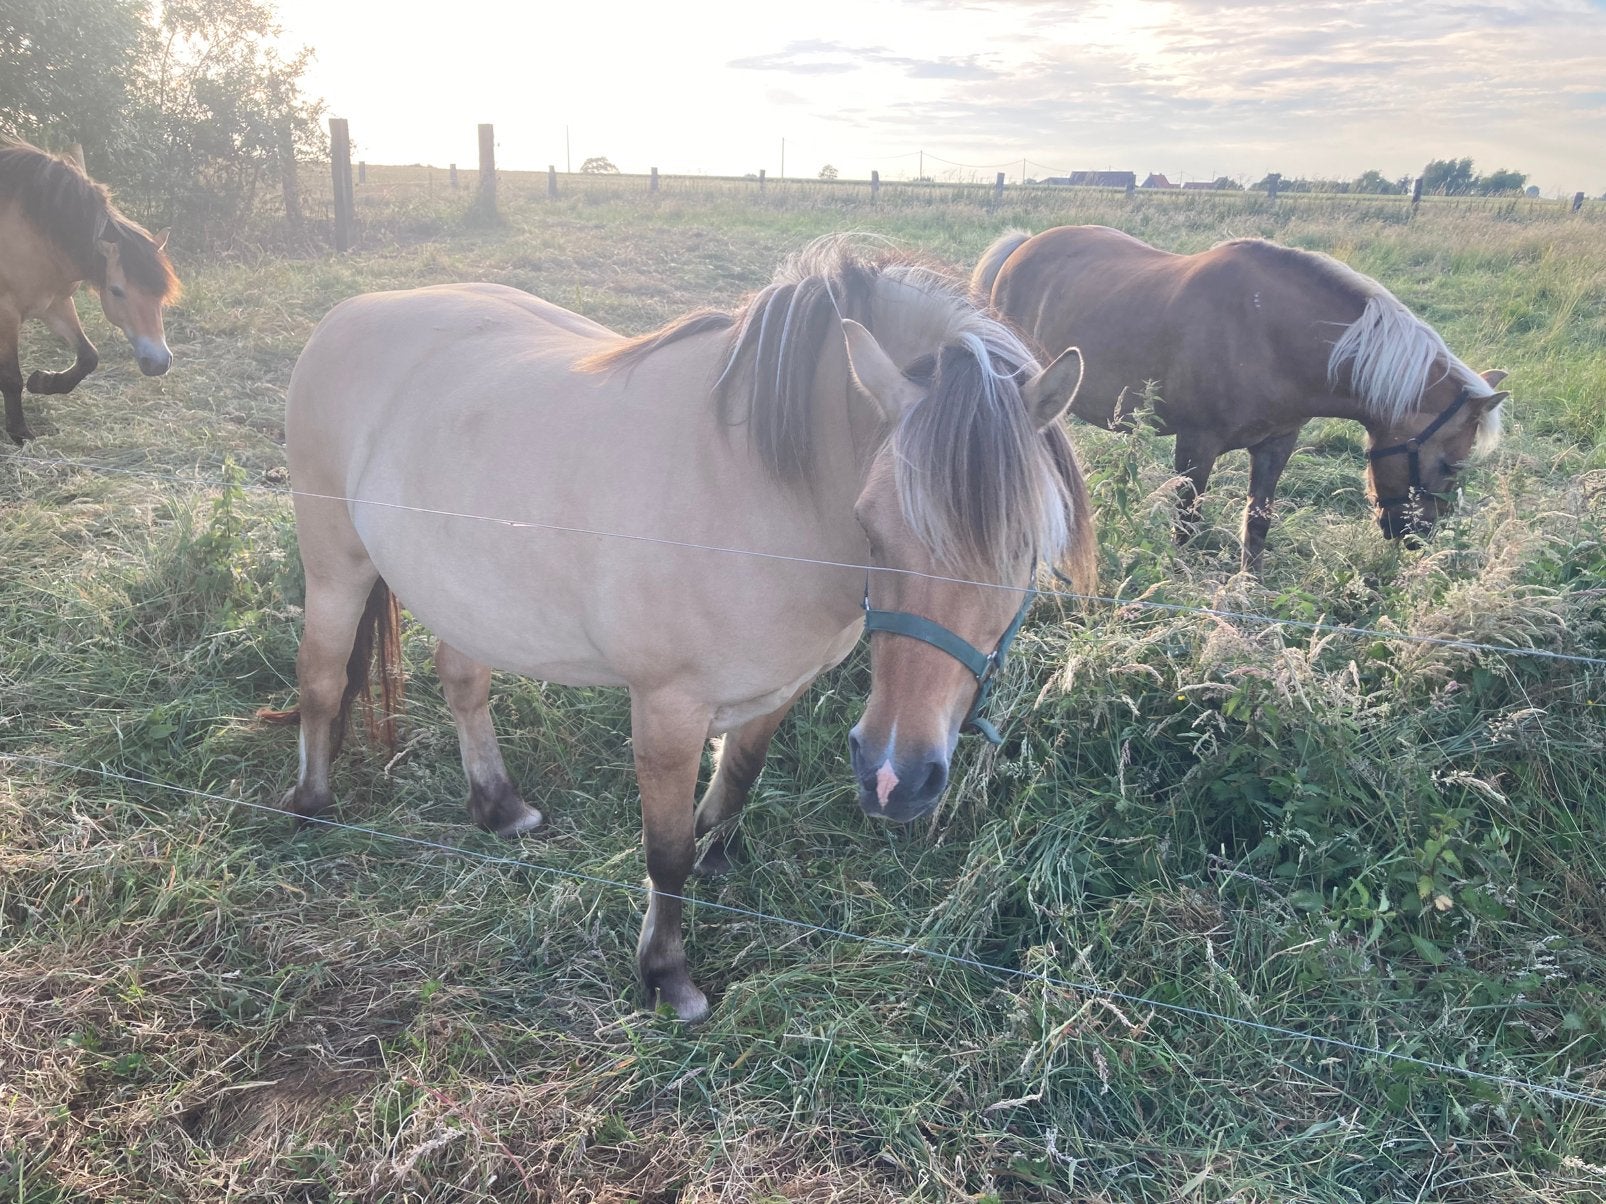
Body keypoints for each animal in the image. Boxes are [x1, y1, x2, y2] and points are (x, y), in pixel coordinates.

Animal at [0, 140, 180, 444]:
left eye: (161, 294)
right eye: (117, 291)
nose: (158, 362)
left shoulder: (55, 303)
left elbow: (88, 356)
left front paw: (45, 381)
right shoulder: (7, 314)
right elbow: (12, 378)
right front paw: (21, 433)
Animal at [279, 236, 1097, 1021]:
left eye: (1026, 547)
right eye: (871, 526)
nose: (896, 778)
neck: (759, 488)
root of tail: (350, 311)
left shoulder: (778, 688)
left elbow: (734, 783)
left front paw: (718, 861)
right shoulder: (667, 707)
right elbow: (664, 849)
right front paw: (667, 975)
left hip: (468, 593)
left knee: (462, 681)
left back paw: (499, 806)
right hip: (335, 566)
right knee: (319, 679)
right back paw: (311, 807)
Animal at [973, 226, 1508, 574]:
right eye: (1451, 464)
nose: (1416, 539)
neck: (1268, 334)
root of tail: (1023, 245)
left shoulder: (1276, 444)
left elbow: (1257, 524)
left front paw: (1246, 591)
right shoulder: (1196, 446)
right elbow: (1187, 527)